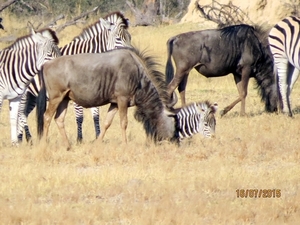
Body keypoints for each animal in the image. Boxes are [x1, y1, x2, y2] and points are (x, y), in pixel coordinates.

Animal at [17, 11, 131, 142]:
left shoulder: (93, 90)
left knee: (24, 114)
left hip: (32, 96)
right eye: (118, 38)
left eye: (130, 37)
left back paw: (23, 139)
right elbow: (80, 117)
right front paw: (79, 139)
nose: (131, 52)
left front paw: (98, 137)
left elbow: (96, 115)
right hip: (23, 94)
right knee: (20, 114)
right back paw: (24, 139)